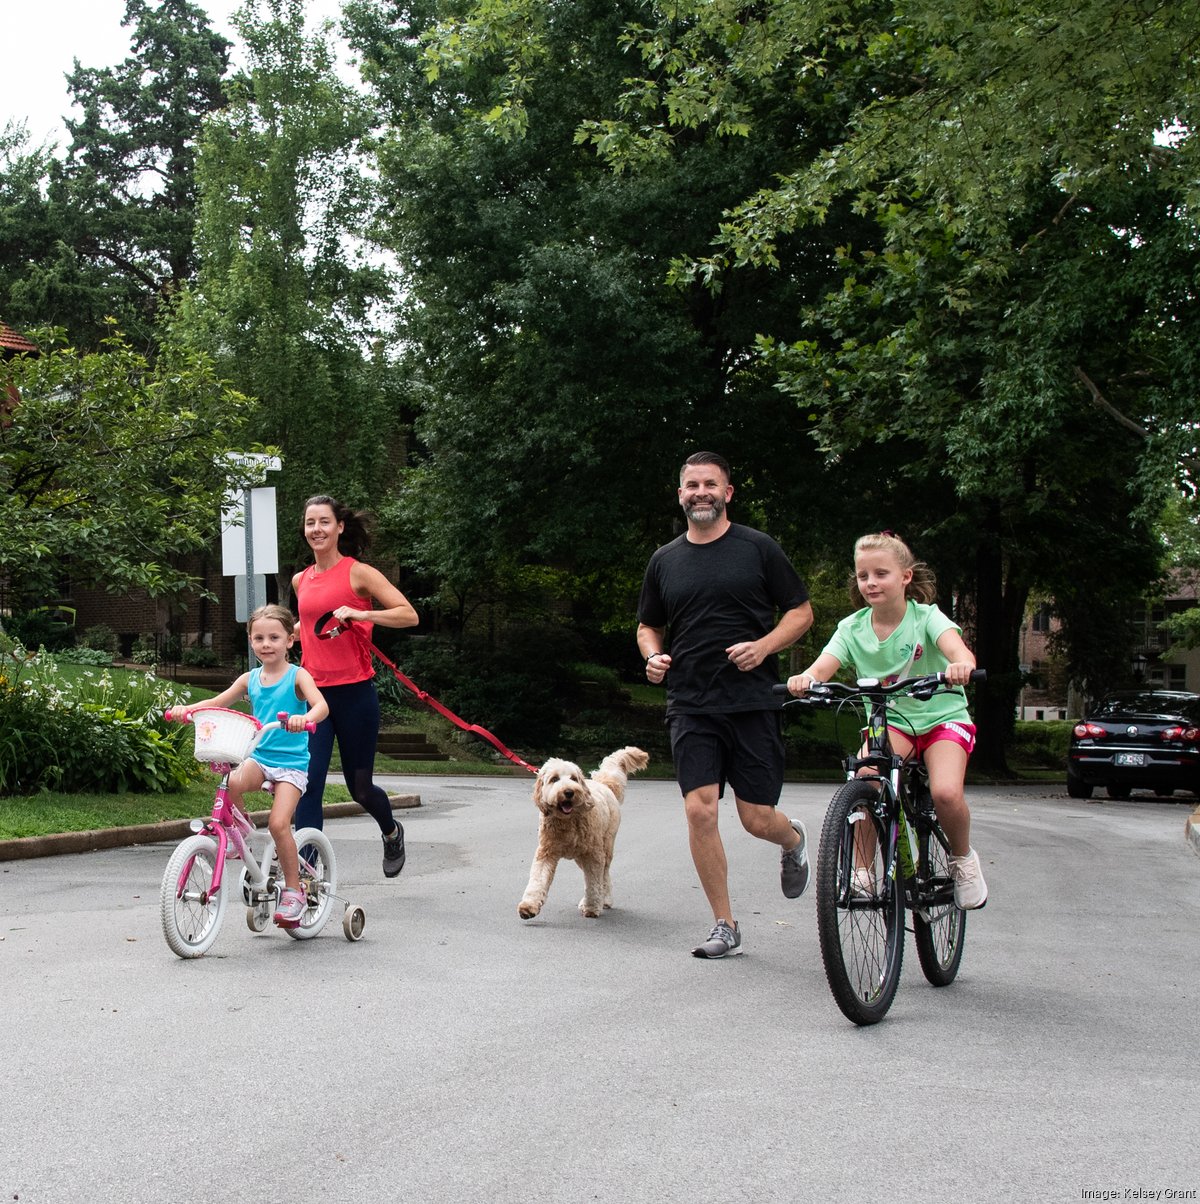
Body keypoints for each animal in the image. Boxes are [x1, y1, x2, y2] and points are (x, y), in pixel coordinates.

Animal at [515, 741, 645, 919]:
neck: (568, 822)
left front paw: (591, 907)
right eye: (554, 779)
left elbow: (593, 882)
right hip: (581, 856)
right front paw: (528, 906)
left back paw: (604, 900)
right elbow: (538, 879)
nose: (569, 792)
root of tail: (604, 784)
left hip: (606, 846)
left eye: (573, 779)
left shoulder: (594, 855)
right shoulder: (546, 852)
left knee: (603, 876)